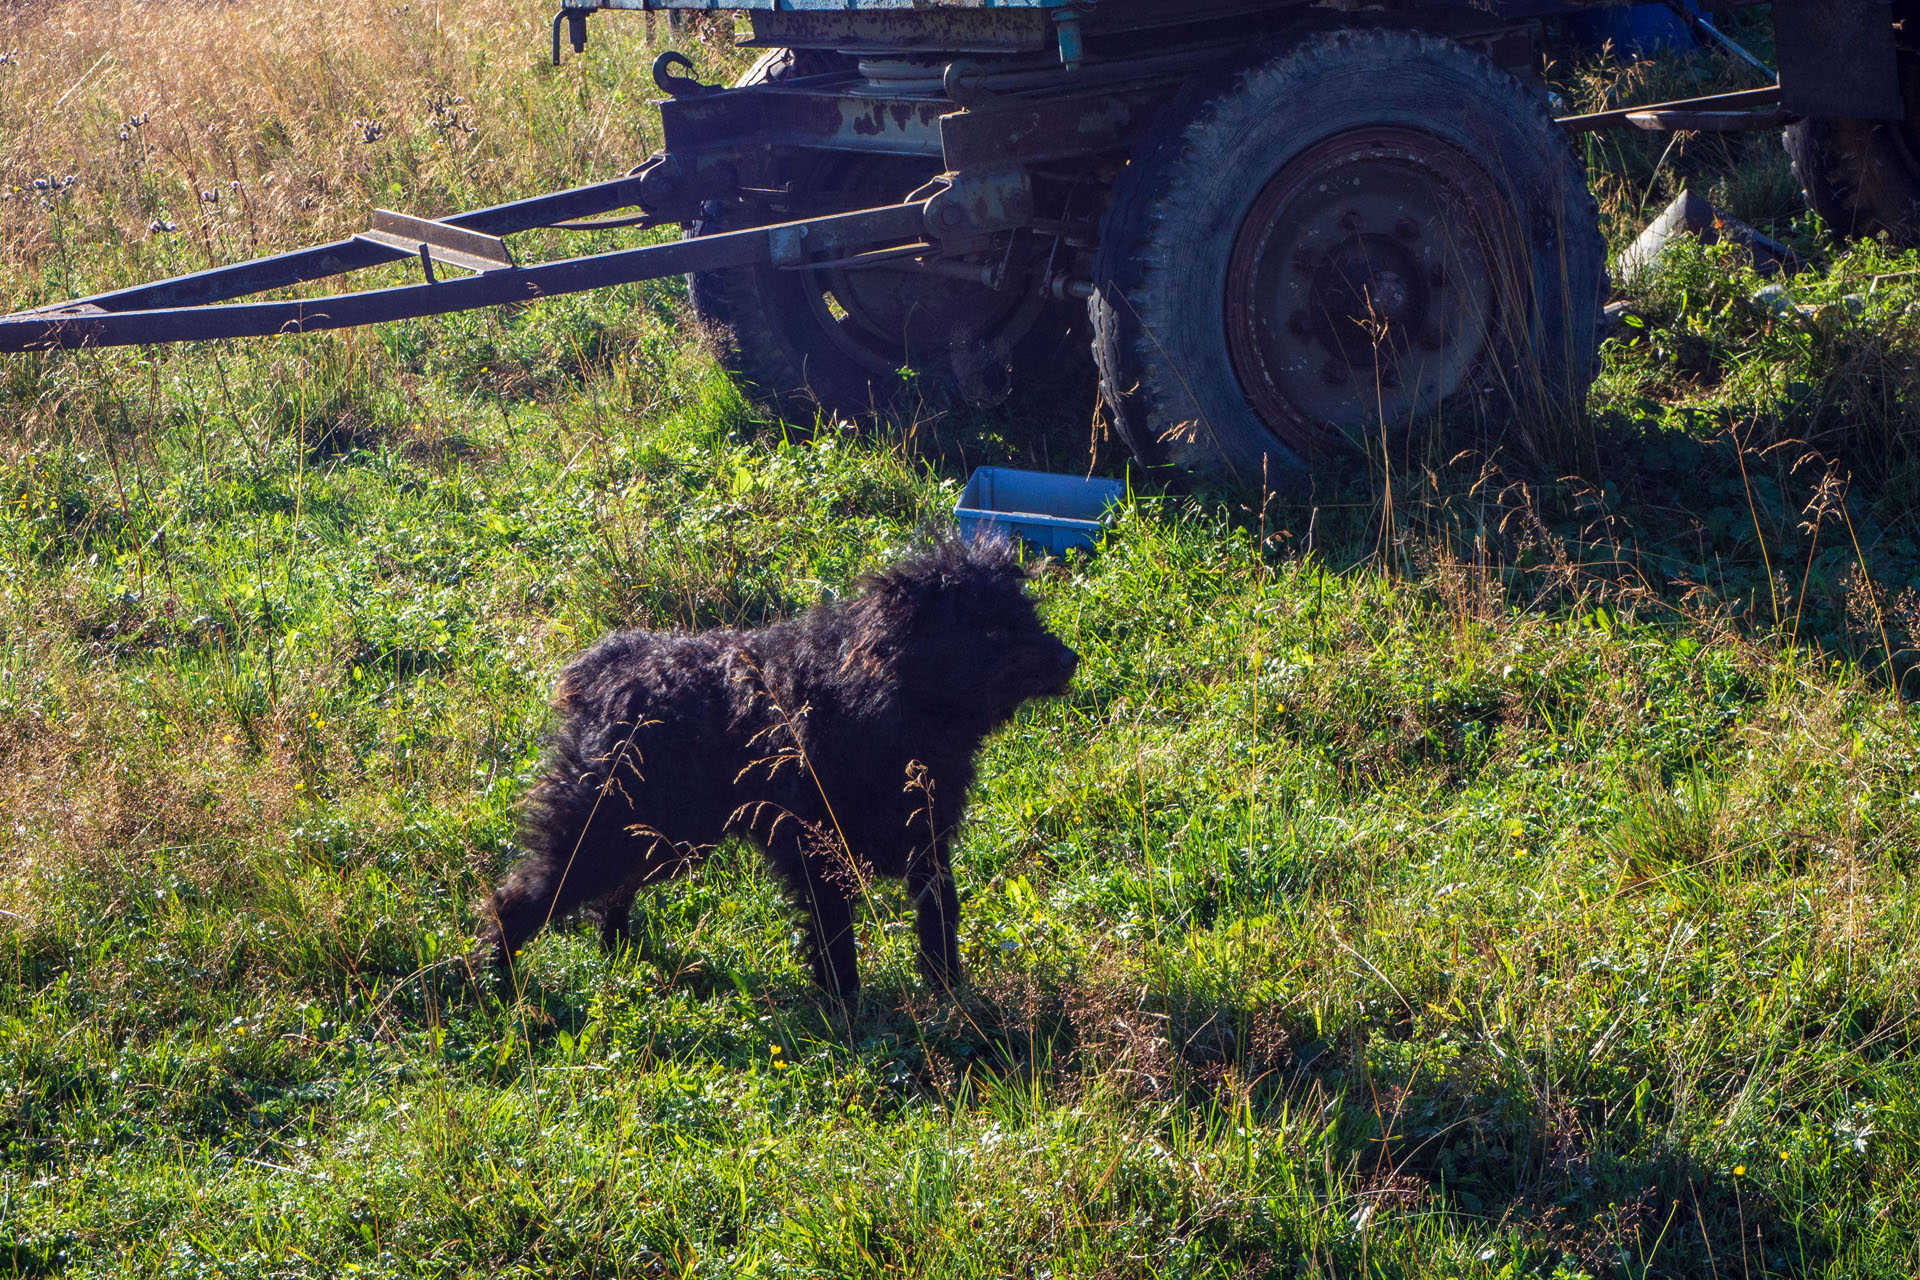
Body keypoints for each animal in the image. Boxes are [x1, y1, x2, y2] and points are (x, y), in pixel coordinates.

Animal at [478, 537, 1075, 1005]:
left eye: (1027, 616)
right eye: (993, 631)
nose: (1070, 660)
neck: (881, 701)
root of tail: (605, 669)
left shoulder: (927, 840)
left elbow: (939, 922)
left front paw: (951, 999)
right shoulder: (817, 853)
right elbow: (835, 944)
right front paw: (848, 1016)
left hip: (659, 834)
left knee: (611, 896)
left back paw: (623, 957)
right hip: (605, 821)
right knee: (525, 896)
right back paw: (497, 984)